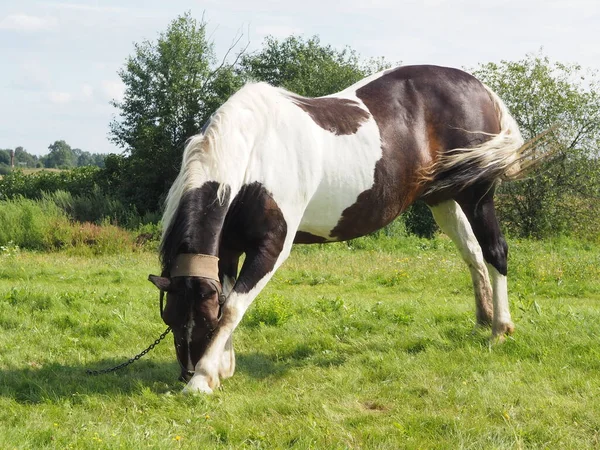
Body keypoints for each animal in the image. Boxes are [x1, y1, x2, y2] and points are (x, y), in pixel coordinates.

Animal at [149, 64, 540, 394]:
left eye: (201, 317)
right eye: (168, 317)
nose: (185, 371)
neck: (253, 149)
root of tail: (481, 88)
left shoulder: (270, 247)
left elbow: (233, 306)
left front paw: (202, 379)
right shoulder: (229, 247)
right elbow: (229, 299)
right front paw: (222, 367)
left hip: (477, 194)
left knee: (495, 251)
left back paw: (500, 330)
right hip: (443, 198)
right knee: (472, 254)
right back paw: (483, 320)